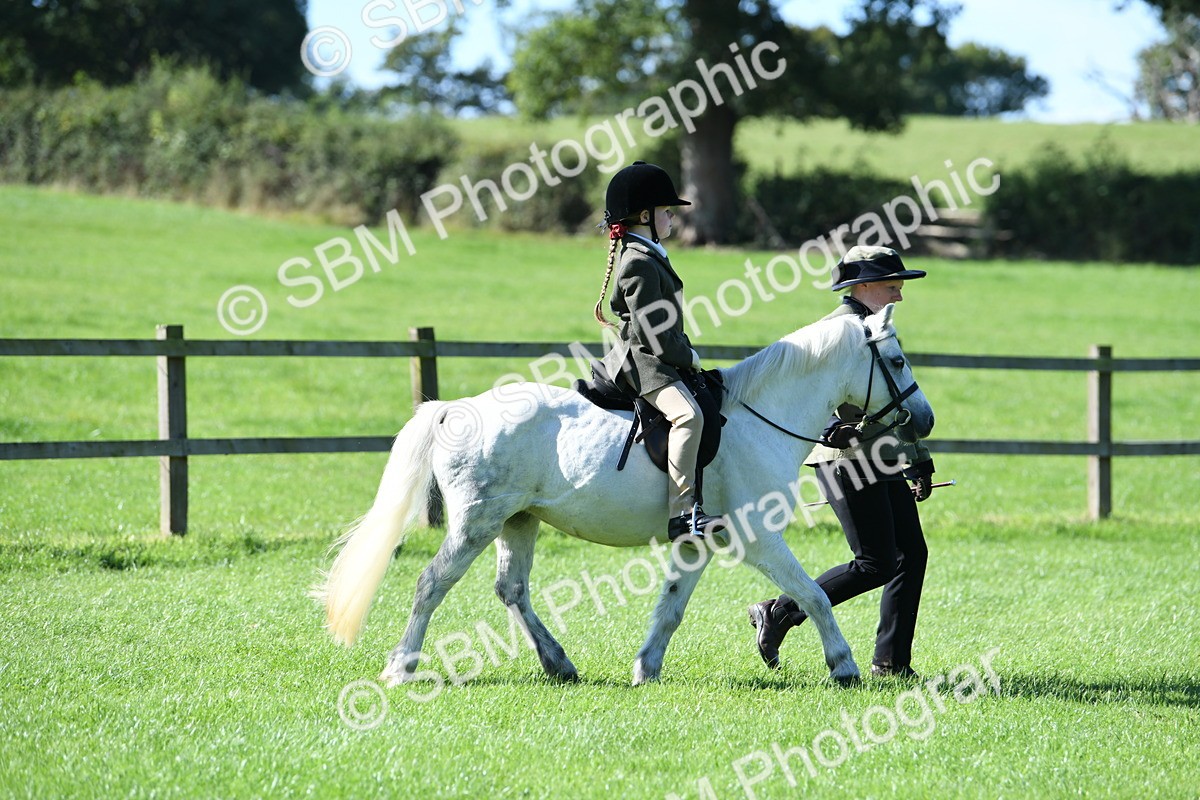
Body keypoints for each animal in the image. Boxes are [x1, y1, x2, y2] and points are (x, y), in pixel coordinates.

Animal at [316, 303, 934, 687]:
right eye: (898, 360)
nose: (924, 420)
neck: (759, 416)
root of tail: (456, 408)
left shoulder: (697, 542)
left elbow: (671, 607)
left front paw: (646, 667)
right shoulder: (759, 538)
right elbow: (815, 595)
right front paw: (844, 665)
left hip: (519, 520)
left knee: (511, 589)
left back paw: (559, 664)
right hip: (476, 522)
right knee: (432, 583)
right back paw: (402, 667)